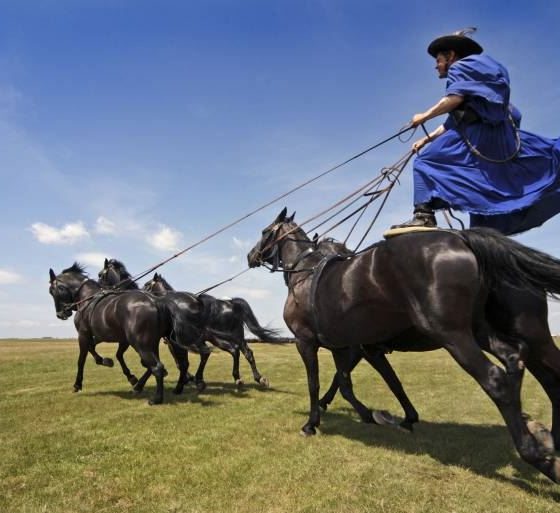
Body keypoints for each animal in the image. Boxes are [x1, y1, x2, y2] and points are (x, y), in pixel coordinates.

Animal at [47, 264, 208, 404]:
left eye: (51, 291)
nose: (61, 314)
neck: (88, 298)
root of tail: (156, 301)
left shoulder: (84, 334)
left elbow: (82, 359)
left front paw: (78, 384)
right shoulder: (116, 338)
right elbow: (112, 354)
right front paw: (114, 366)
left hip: (142, 343)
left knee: (159, 366)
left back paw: (157, 398)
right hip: (157, 342)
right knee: (178, 362)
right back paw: (179, 386)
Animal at [247, 206, 560, 482]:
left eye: (264, 232)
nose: (250, 256)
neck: (306, 274)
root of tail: (462, 239)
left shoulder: (310, 342)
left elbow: (318, 383)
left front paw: (312, 423)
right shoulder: (346, 346)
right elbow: (359, 382)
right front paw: (382, 416)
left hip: (455, 334)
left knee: (500, 379)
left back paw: (538, 455)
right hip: (482, 331)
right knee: (515, 359)